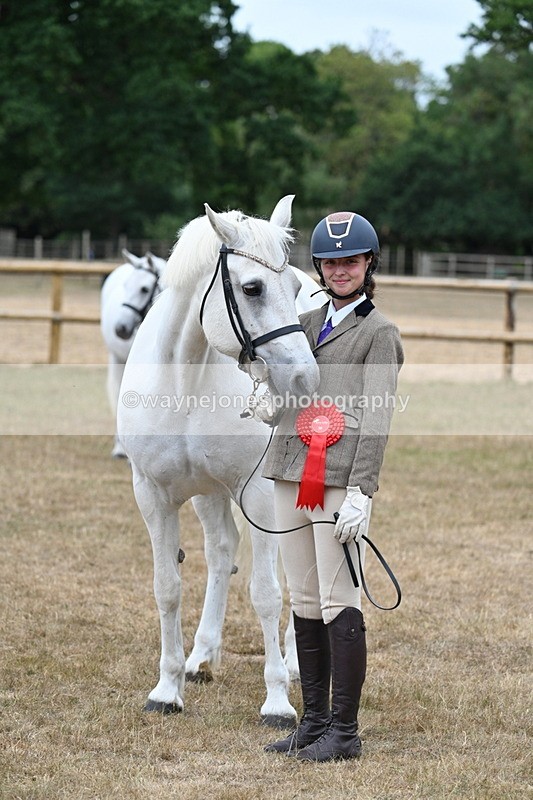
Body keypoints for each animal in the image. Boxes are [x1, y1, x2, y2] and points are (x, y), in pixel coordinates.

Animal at [117, 196, 321, 726]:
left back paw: (294, 664)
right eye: (252, 288)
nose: (304, 381)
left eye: (293, 288)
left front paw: (277, 702)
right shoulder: (153, 495)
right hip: (208, 494)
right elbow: (167, 586)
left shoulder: (261, 494)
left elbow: (267, 593)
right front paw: (166, 689)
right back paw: (202, 657)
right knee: (222, 553)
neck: (186, 380)